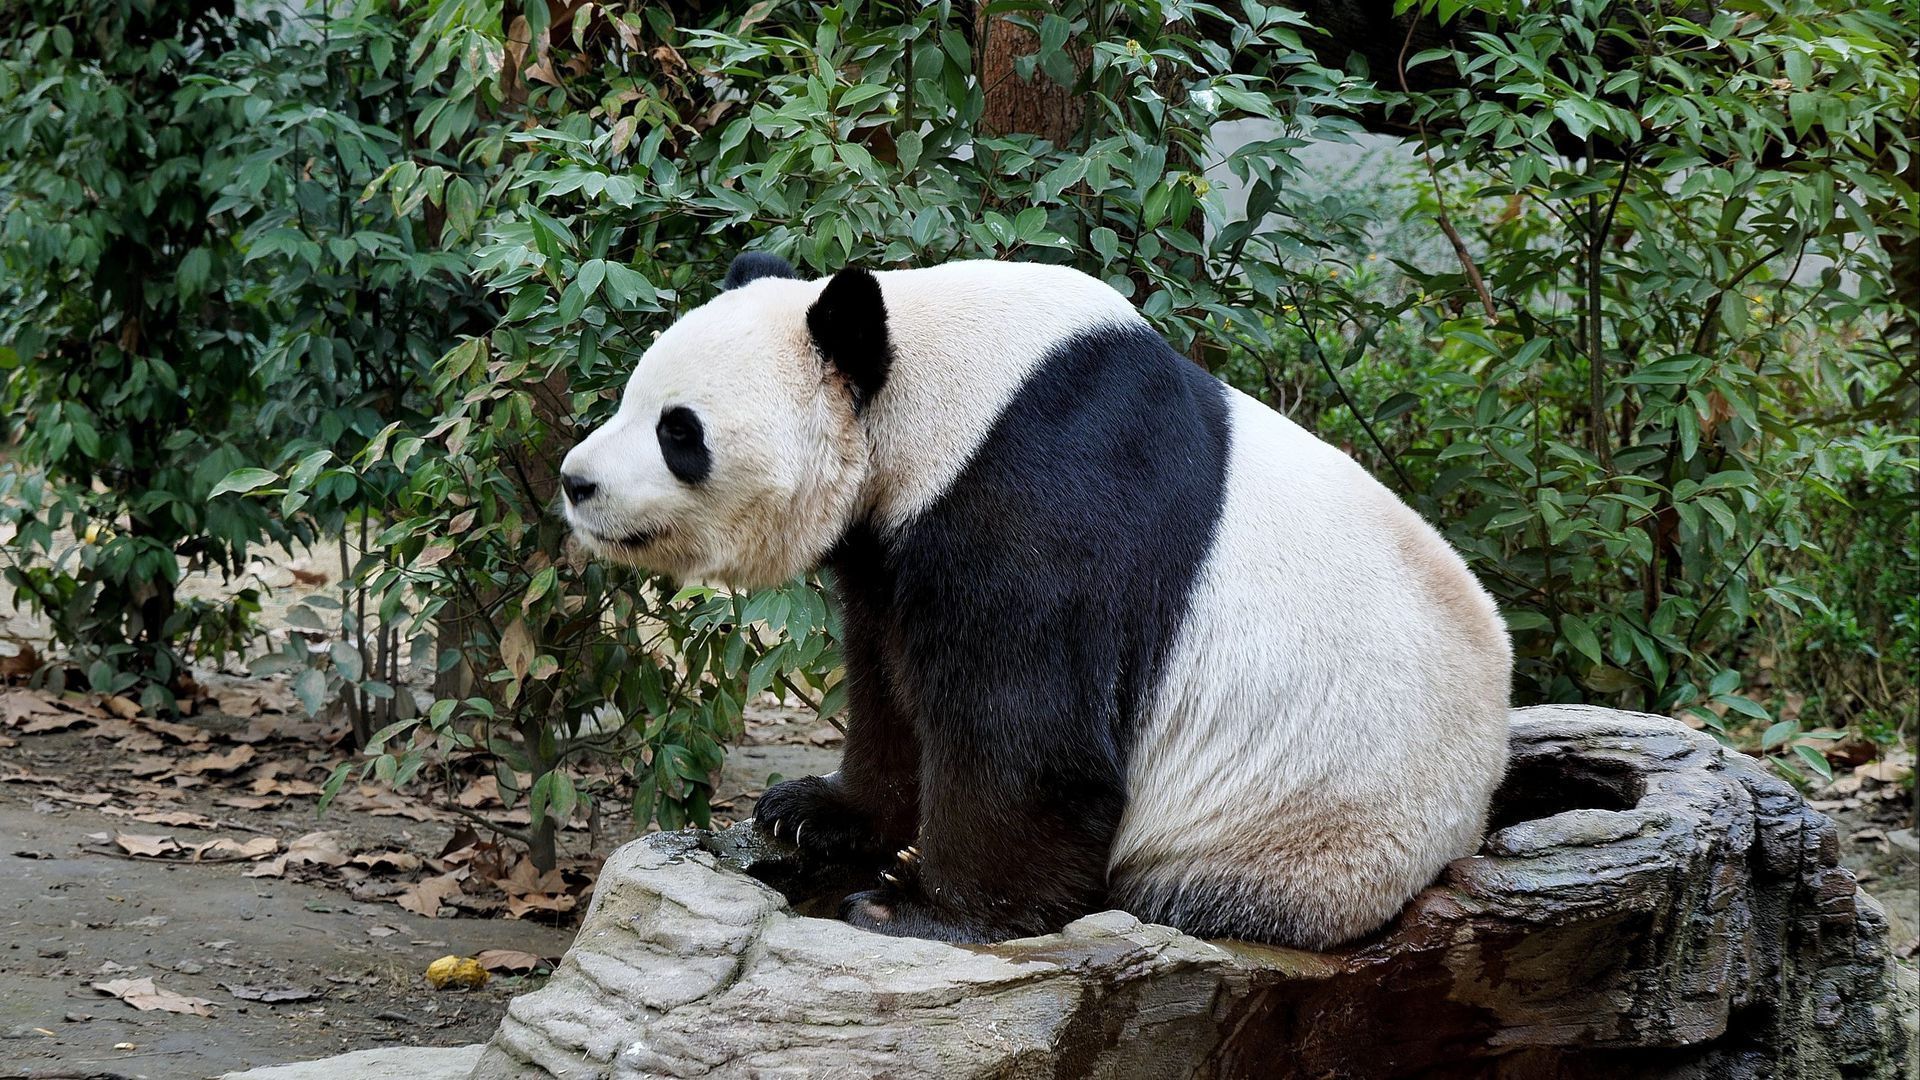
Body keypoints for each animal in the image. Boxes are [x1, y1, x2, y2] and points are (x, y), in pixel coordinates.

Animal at [558, 253, 1512, 949]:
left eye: (679, 432)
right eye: (630, 400)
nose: (575, 482)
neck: (936, 392)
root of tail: (1470, 816)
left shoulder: (1042, 499)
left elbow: (1025, 737)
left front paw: (913, 910)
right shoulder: (892, 543)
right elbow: (889, 682)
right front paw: (810, 813)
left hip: (1299, 831)